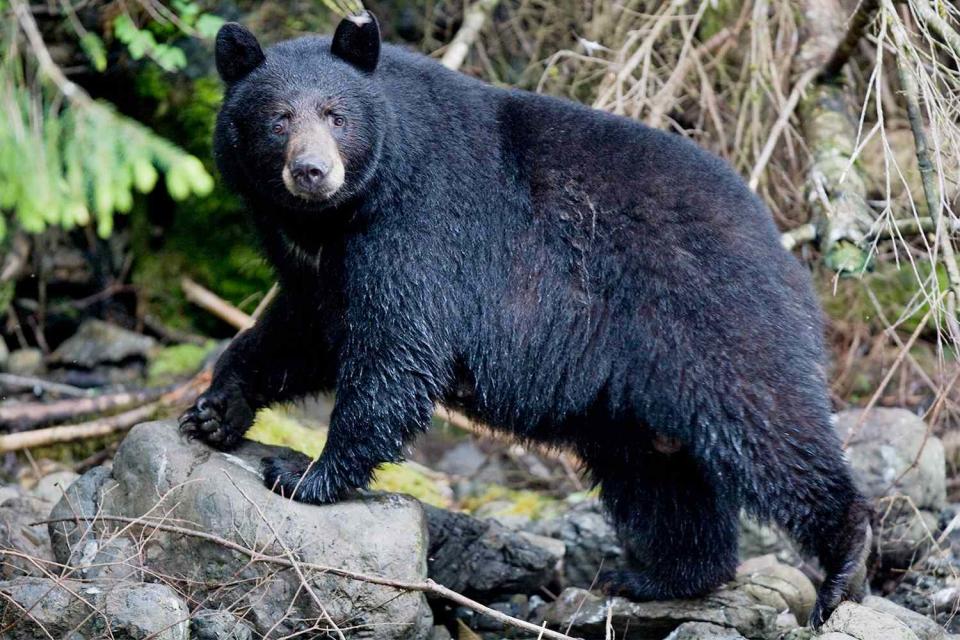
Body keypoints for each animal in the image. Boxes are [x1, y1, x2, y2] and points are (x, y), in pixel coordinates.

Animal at [180, 12, 872, 628]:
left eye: (335, 115)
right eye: (277, 119)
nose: (312, 171)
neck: (335, 219)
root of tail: (787, 256)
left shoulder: (421, 228)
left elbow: (397, 351)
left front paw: (306, 474)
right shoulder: (318, 270)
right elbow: (301, 335)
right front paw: (217, 410)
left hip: (715, 321)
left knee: (770, 428)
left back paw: (846, 556)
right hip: (631, 402)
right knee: (659, 477)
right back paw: (662, 576)